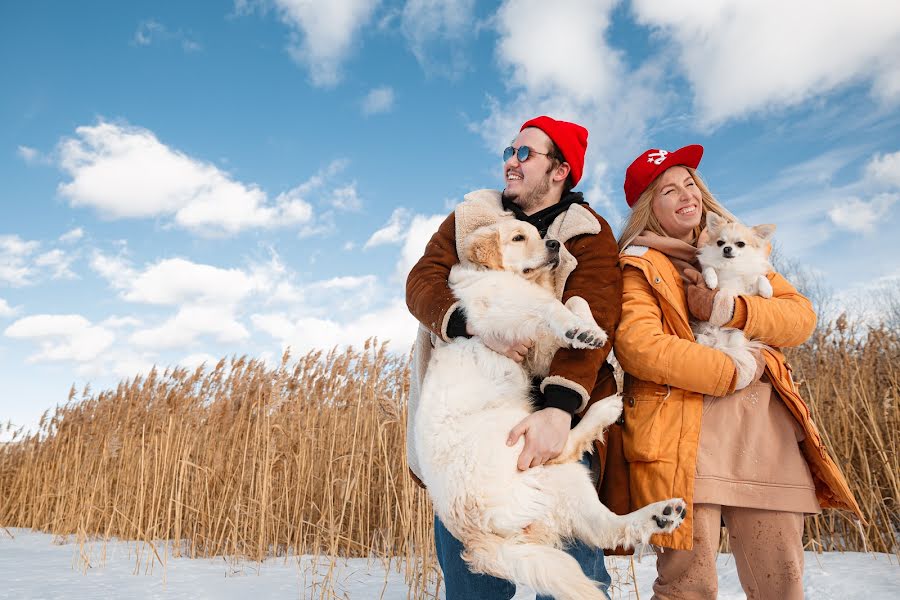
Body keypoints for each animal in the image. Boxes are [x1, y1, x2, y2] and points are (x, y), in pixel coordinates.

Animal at [418, 219, 684, 600]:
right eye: (518, 237)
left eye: (539, 233)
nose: (556, 245)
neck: (500, 274)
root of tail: (480, 538)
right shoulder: (508, 318)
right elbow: (551, 308)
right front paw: (580, 329)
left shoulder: (536, 349)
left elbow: (575, 298)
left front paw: (590, 330)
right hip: (520, 438)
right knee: (566, 448)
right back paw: (606, 409)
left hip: (566, 487)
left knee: (609, 527)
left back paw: (660, 515)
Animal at [692, 212, 776, 390]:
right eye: (720, 242)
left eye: (740, 244)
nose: (727, 248)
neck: (731, 265)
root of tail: (719, 340)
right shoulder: (710, 269)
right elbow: (709, 269)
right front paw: (711, 281)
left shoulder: (749, 290)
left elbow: (760, 278)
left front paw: (767, 290)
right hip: (705, 334)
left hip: (738, 335)